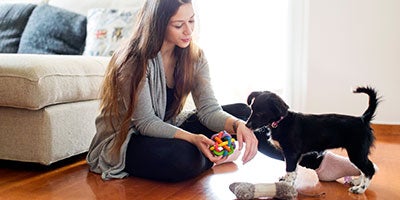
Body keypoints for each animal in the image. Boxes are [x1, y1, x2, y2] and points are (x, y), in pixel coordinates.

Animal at [245, 86, 380, 194]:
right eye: (251, 110)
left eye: (260, 113)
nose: (246, 125)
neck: (281, 122)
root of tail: (363, 119)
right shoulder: (293, 155)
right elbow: (293, 170)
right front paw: (287, 181)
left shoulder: (292, 153)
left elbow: (290, 169)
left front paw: (286, 186)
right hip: (358, 153)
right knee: (366, 168)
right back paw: (357, 181)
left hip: (356, 152)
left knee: (369, 169)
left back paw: (360, 189)